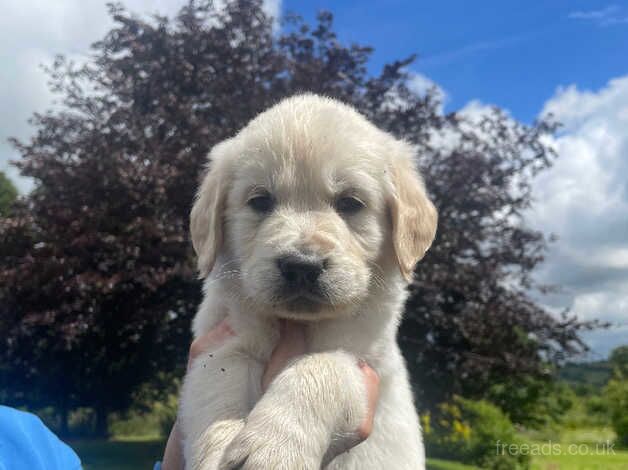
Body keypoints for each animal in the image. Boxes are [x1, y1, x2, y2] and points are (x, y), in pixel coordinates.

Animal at [179, 93, 440, 468]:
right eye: (260, 201)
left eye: (350, 202)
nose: (302, 267)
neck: (301, 322)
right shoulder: (222, 338)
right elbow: (219, 381)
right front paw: (218, 449)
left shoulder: (368, 365)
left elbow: (323, 366)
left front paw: (275, 448)